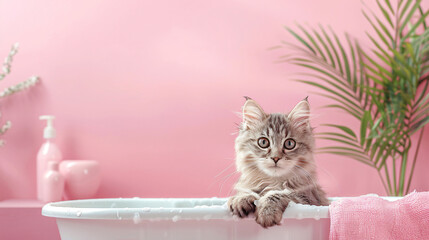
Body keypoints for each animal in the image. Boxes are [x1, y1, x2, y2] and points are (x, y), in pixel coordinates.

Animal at [227, 97, 328, 227]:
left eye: (289, 144)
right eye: (263, 142)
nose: (275, 158)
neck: (273, 182)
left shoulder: (308, 199)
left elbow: (279, 194)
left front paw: (266, 212)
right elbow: (246, 191)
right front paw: (240, 200)